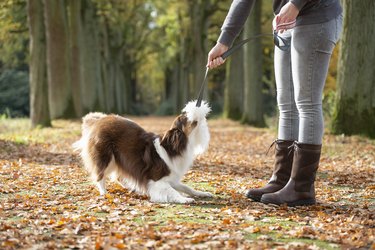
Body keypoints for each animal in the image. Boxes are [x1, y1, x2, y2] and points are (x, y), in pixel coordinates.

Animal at [72, 100, 213, 203]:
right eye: (185, 117)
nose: (196, 110)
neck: (173, 148)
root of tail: (99, 120)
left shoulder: (172, 178)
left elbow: (187, 187)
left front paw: (203, 193)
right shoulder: (156, 180)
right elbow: (172, 191)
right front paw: (184, 199)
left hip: (118, 159)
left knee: (118, 176)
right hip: (105, 156)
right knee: (100, 175)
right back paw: (104, 193)